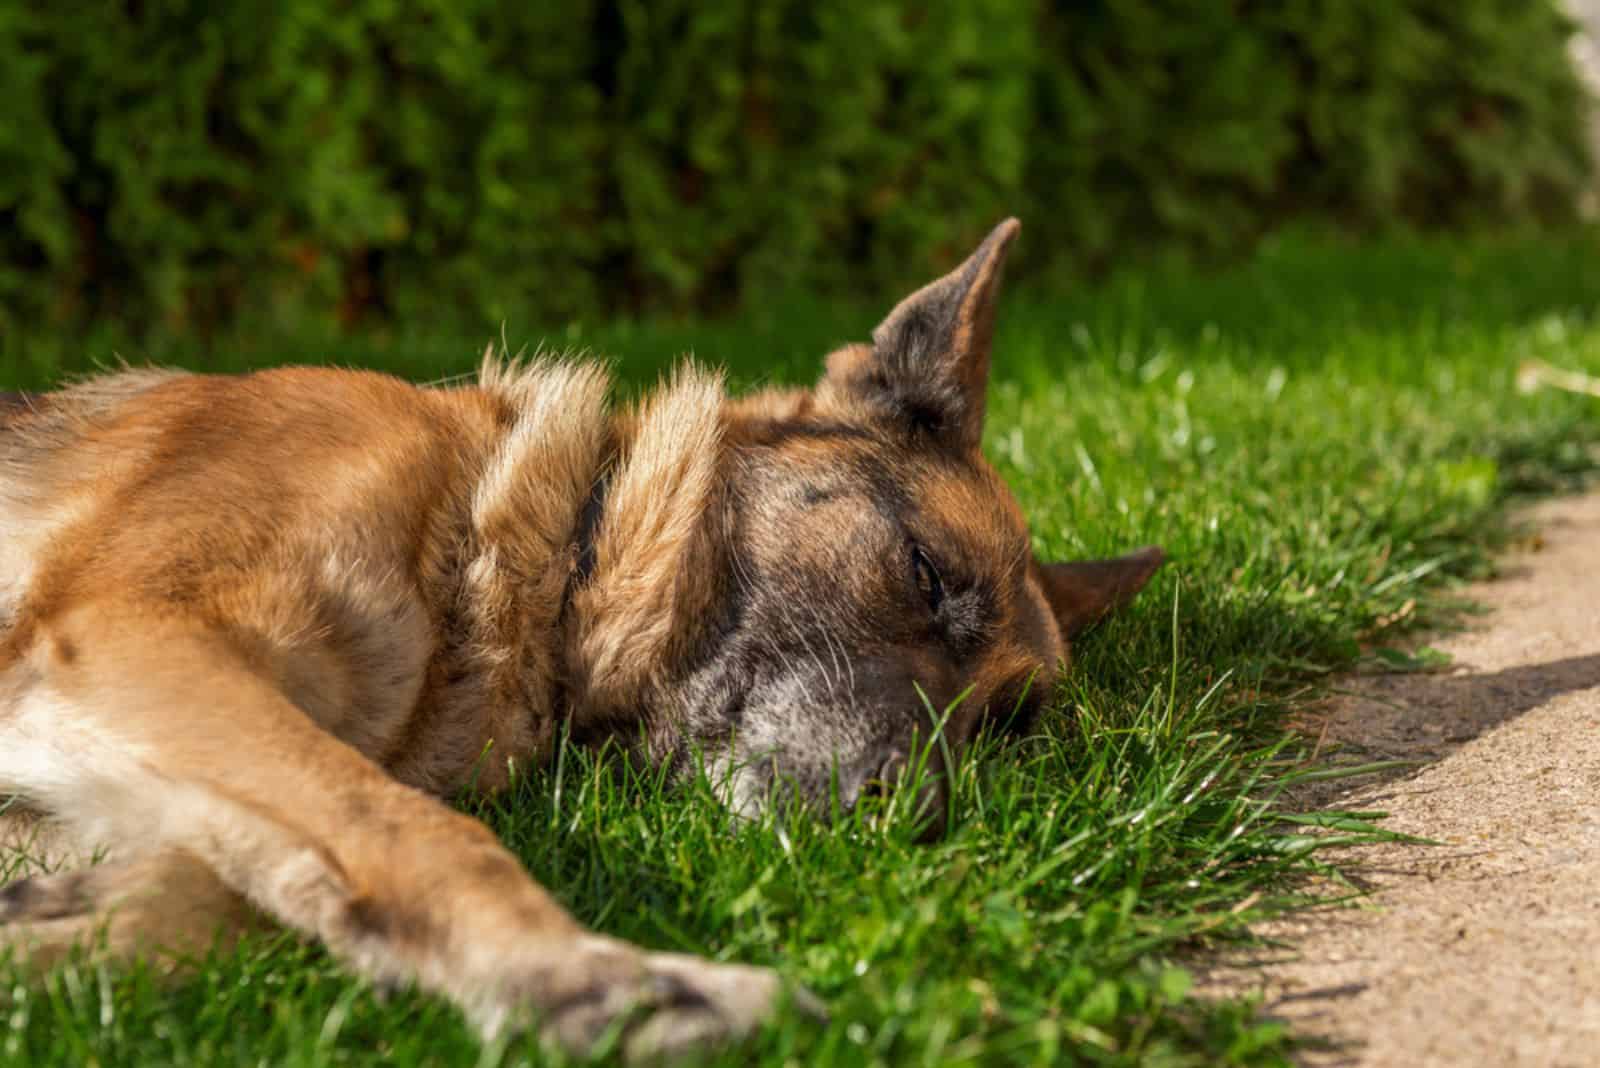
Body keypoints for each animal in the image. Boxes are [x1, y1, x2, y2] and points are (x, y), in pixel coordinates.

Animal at [0, 219, 1158, 1061]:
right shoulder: (130, 634)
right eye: (924, 574)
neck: (544, 550)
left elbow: (252, 868)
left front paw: (67, 926)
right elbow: (420, 832)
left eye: (1002, 728)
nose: (915, 821)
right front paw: (606, 985)